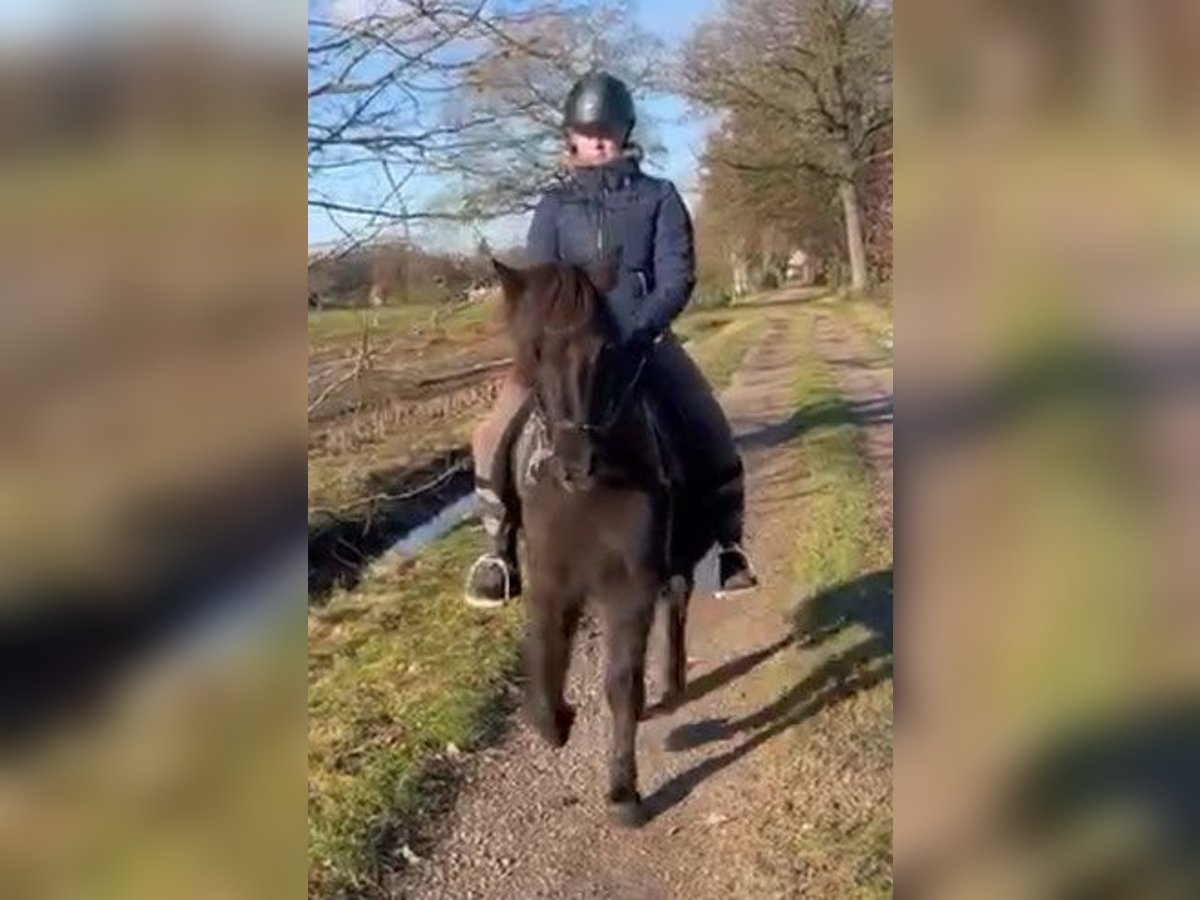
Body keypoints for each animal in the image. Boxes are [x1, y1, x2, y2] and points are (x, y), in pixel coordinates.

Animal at [492, 256, 715, 830]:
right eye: (535, 350)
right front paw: (557, 721)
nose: (577, 463)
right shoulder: (552, 582)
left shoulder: (629, 588)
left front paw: (623, 791)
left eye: (606, 350)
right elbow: (544, 663)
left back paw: (672, 680)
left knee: (678, 603)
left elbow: (619, 684)